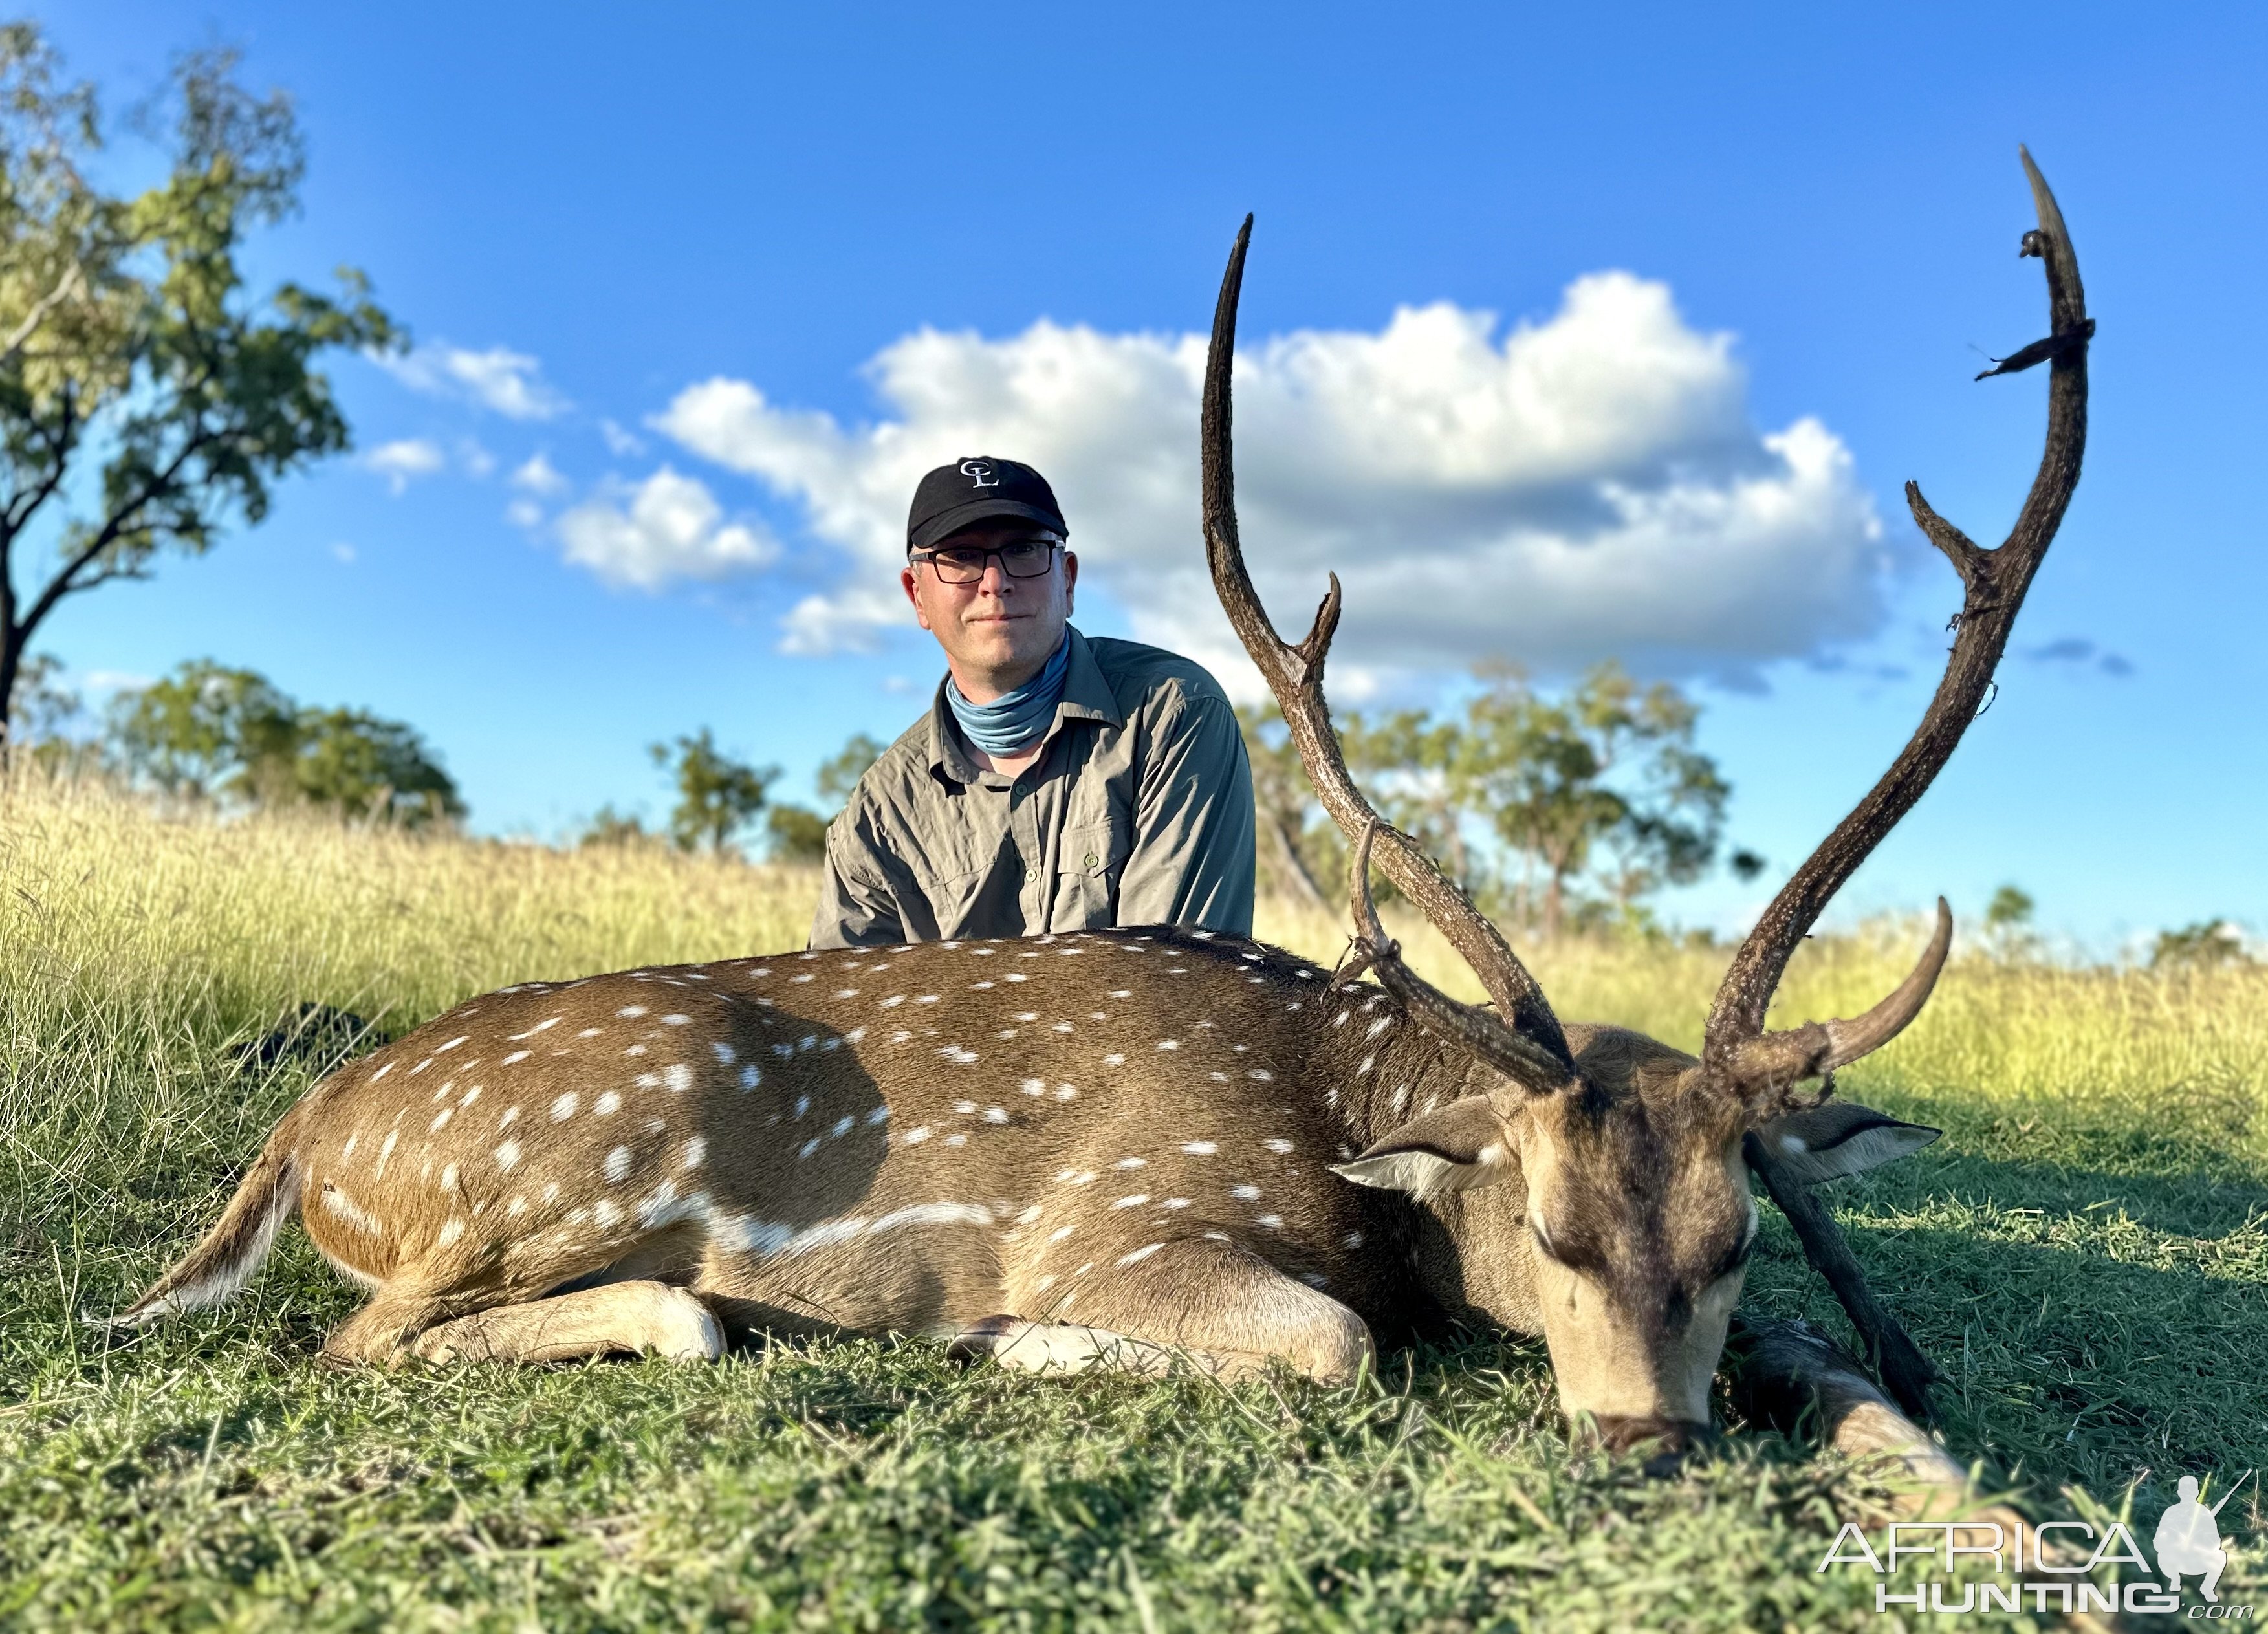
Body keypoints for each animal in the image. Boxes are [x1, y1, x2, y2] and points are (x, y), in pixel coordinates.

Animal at [106, 149, 2086, 1479]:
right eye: (1549, 1228)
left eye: (1735, 1238)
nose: (1641, 1440)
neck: (1342, 1131)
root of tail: (308, 1123)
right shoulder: (1125, 1217)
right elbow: (1328, 1337)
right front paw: (1024, 1338)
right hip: (586, 1143)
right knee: (391, 1330)